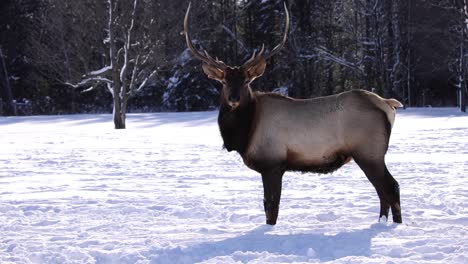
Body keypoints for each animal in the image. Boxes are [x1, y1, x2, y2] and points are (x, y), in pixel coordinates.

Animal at [183, 2, 402, 225]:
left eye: (246, 81)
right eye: (224, 82)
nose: (234, 98)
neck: (245, 133)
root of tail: (388, 104)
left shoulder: (272, 163)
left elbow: (271, 208)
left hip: (369, 152)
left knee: (391, 187)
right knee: (382, 191)